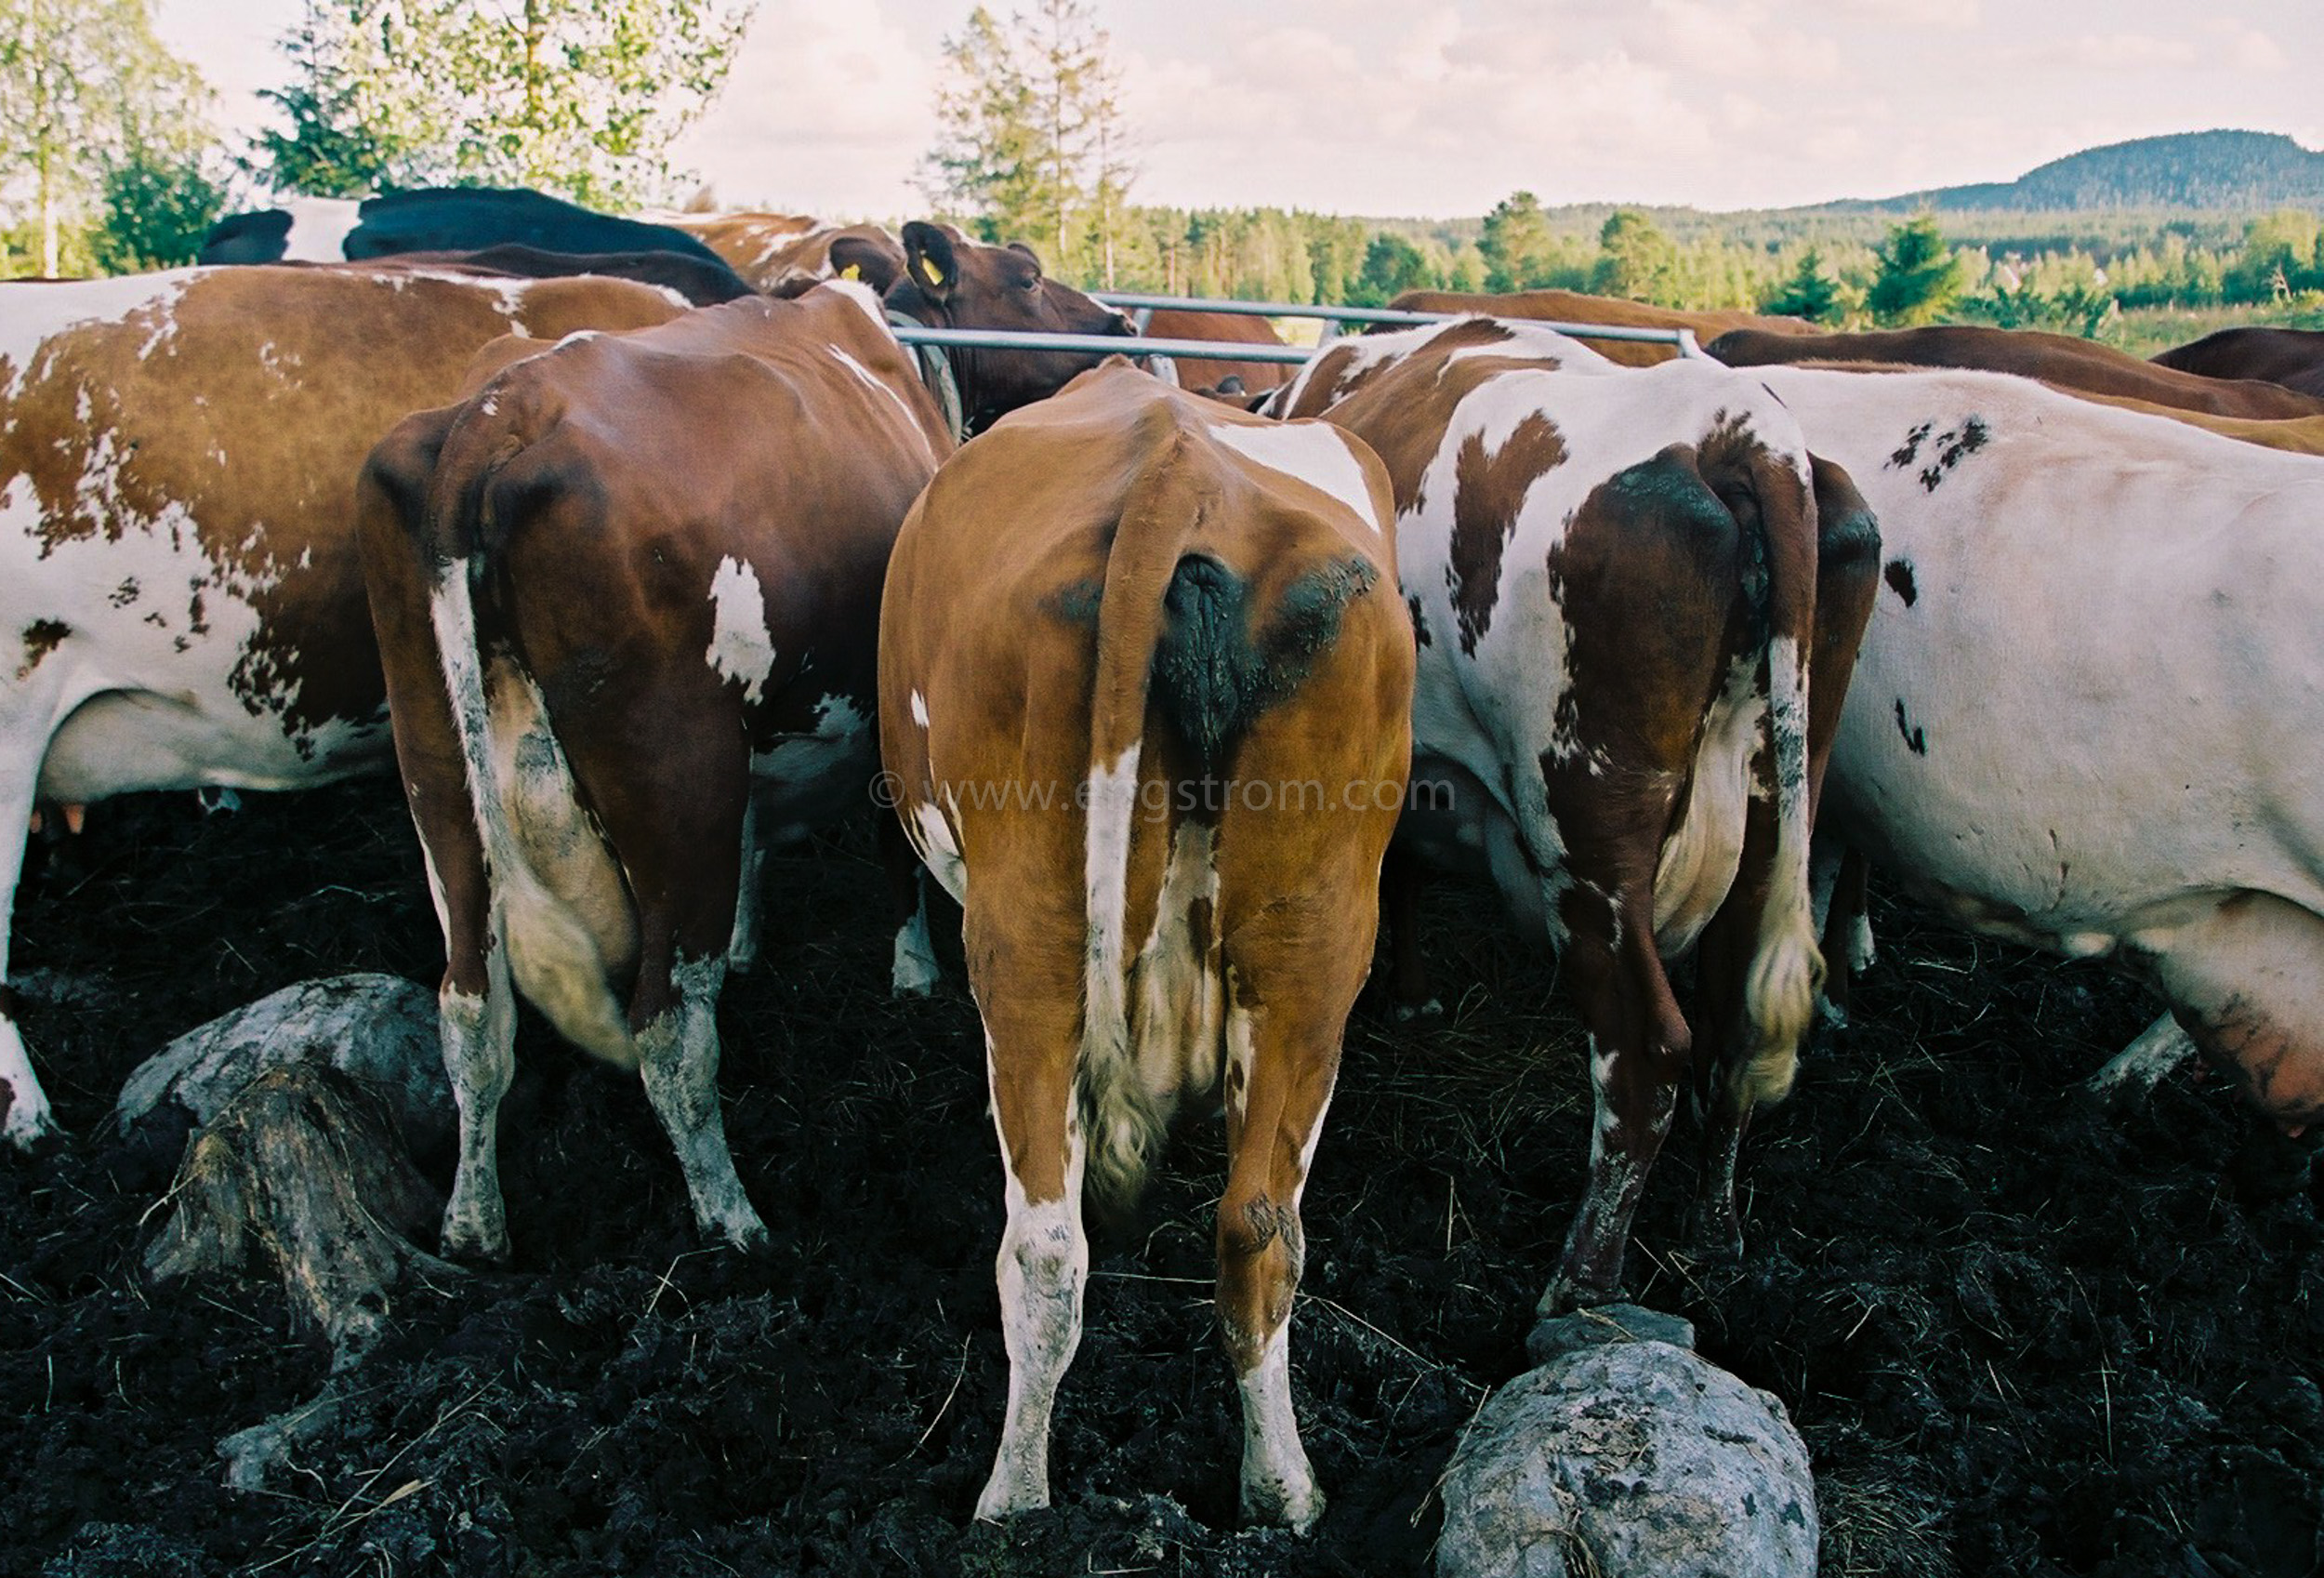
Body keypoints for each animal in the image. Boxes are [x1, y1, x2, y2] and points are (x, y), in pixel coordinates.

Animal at [878, 360, 1404, 1533]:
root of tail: (1178, 473)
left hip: (1025, 936)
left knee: (1042, 1247)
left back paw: (1014, 1504)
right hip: (1313, 939)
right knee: (1256, 1229)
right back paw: (1284, 1492)